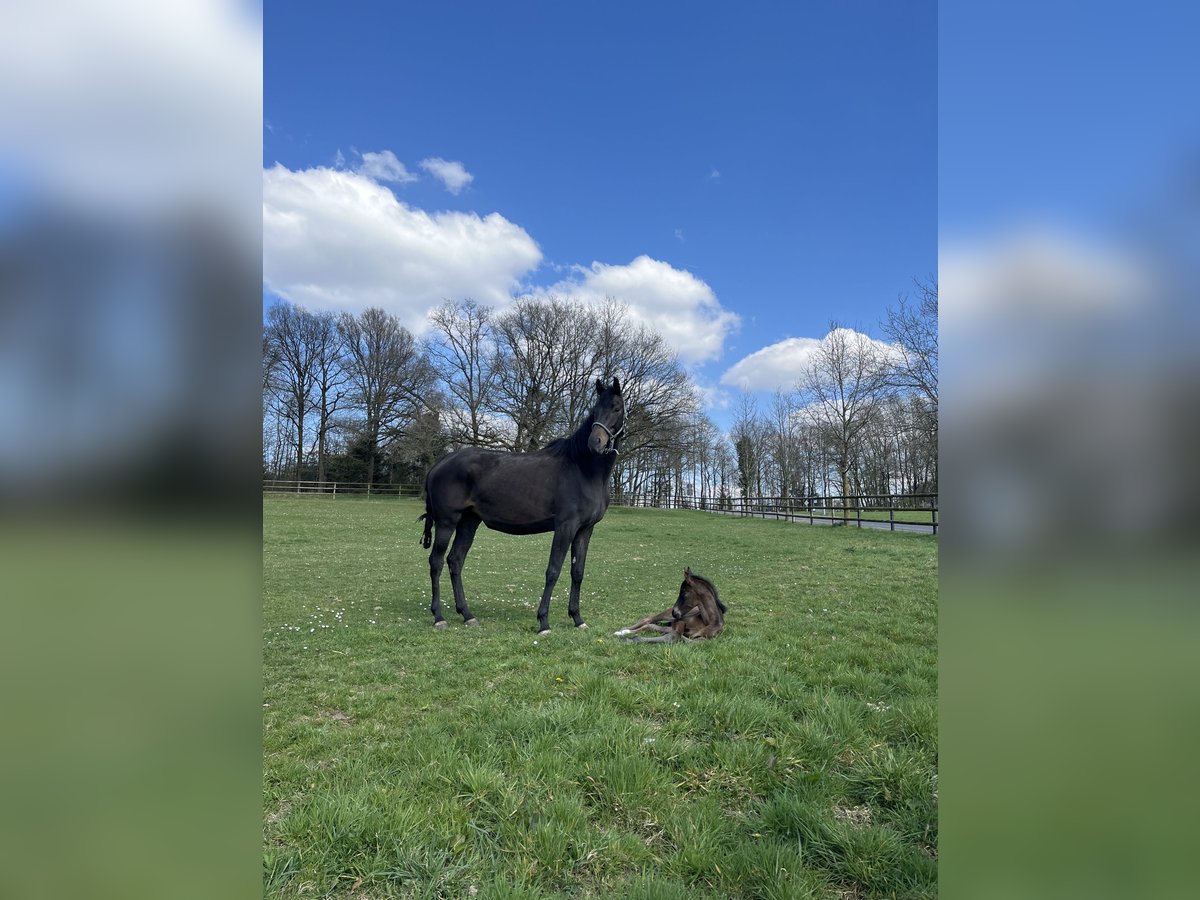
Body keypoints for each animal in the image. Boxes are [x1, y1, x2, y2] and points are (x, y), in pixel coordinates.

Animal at [420, 377, 627, 634]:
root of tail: (441, 463)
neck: (584, 469)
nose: (595, 443)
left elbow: (577, 572)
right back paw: (439, 617)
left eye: (616, 408)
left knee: (455, 561)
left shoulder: (585, 530)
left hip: (468, 522)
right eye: (595, 410)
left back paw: (467, 615)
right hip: (447, 522)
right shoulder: (565, 527)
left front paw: (577, 619)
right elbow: (553, 570)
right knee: (436, 562)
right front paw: (544, 622)